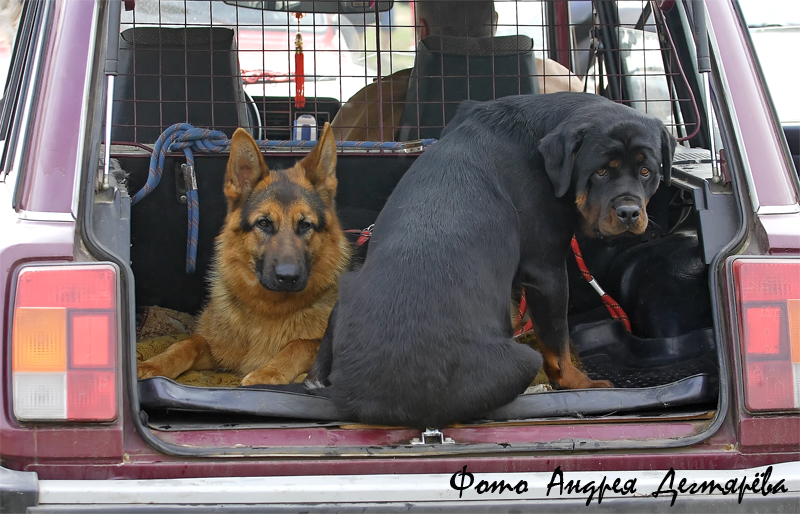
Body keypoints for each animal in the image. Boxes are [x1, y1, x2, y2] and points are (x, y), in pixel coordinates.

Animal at [138, 122, 350, 382]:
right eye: (264, 223)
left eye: (305, 225)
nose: (288, 277)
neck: (268, 308)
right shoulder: (216, 349)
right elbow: (186, 345)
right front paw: (154, 365)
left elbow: (300, 344)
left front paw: (268, 372)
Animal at [310, 92, 672, 428]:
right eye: (599, 172)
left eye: (646, 171)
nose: (629, 212)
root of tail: (361, 397)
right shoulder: (546, 270)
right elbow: (557, 341)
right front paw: (578, 383)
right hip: (520, 360)